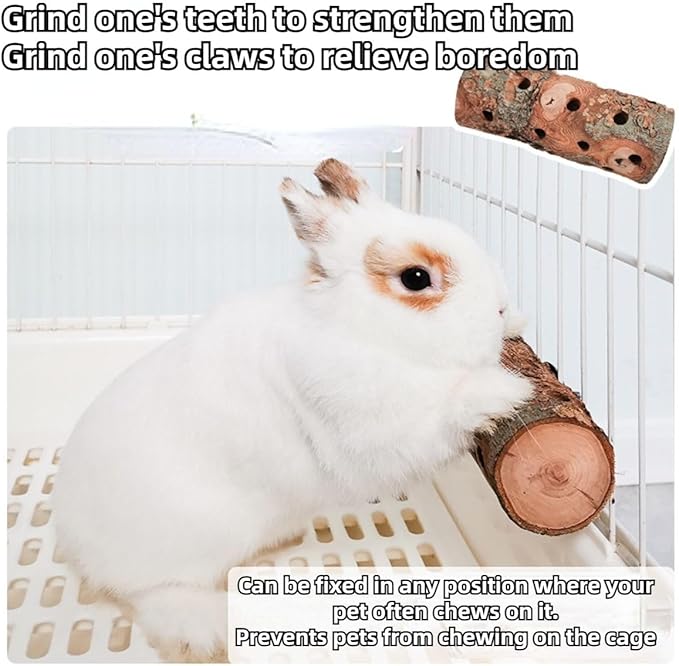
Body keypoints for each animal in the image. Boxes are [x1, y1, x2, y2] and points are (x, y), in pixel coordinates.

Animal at [53, 158, 532, 661]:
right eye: (416, 278)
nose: (501, 309)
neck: (356, 327)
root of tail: (70, 535)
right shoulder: (369, 430)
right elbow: (434, 421)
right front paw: (500, 391)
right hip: (182, 544)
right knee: (151, 592)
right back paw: (206, 627)